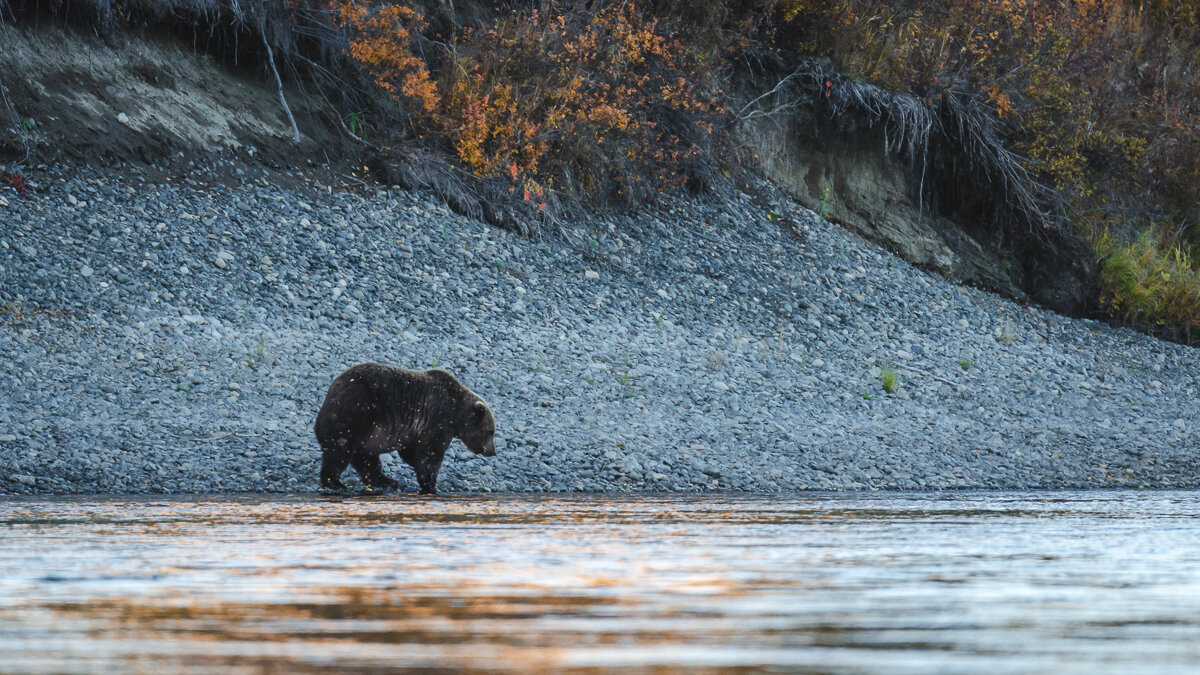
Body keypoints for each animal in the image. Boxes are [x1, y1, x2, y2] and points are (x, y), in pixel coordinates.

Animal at [314, 360, 496, 492]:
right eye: (490, 432)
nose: (492, 451)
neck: (456, 412)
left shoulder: (415, 430)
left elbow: (411, 451)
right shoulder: (438, 421)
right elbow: (430, 454)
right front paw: (430, 485)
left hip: (366, 431)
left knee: (366, 458)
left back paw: (386, 481)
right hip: (355, 412)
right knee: (340, 451)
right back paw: (334, 482)